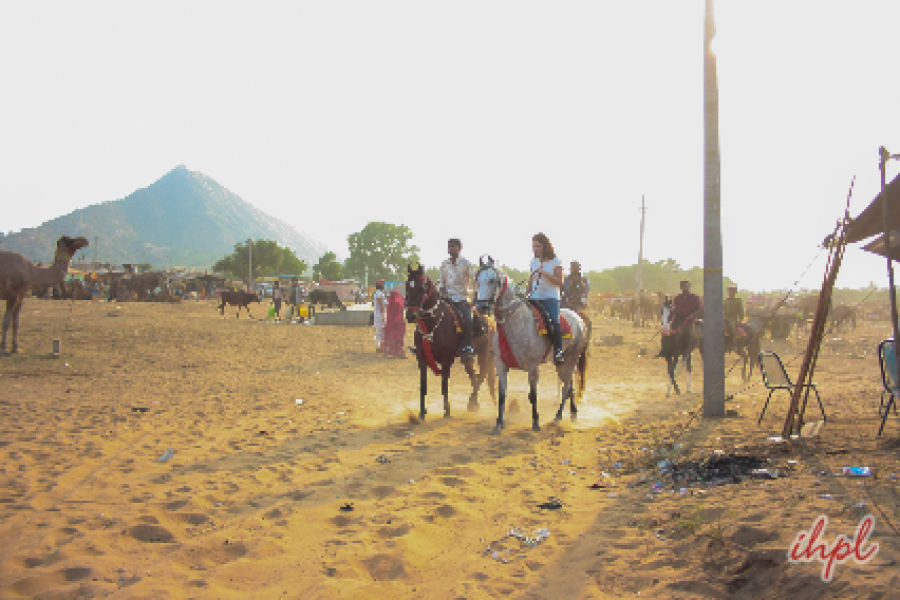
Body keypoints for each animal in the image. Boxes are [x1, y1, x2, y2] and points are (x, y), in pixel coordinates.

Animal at [406, 264, 496, 420]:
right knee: (474, 375)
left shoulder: (446, 358)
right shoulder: (421, 358)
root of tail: (489, 320)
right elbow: (423, 386)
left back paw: (472, 402)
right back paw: (475, 404)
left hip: (484, 352)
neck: (432, 325)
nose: (410, 315)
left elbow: (444, 384)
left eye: (422, 288)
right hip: (467, 358)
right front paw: (422, 412)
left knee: (482, 374)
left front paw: (447, 411)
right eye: (407, 286)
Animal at [472, 256, 592, 432]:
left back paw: (558, 416)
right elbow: (502, 396)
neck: (516, 323)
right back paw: (573, 413)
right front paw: (499, 423)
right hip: (560, 362)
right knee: (569, 385)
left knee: (565, 387)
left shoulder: (533, 366)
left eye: (492, 280)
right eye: (477, 280)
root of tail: (578, 318)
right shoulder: (501, 365)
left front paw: (535, 422)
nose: (481, 307)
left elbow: (533, 395)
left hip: (571, 358)